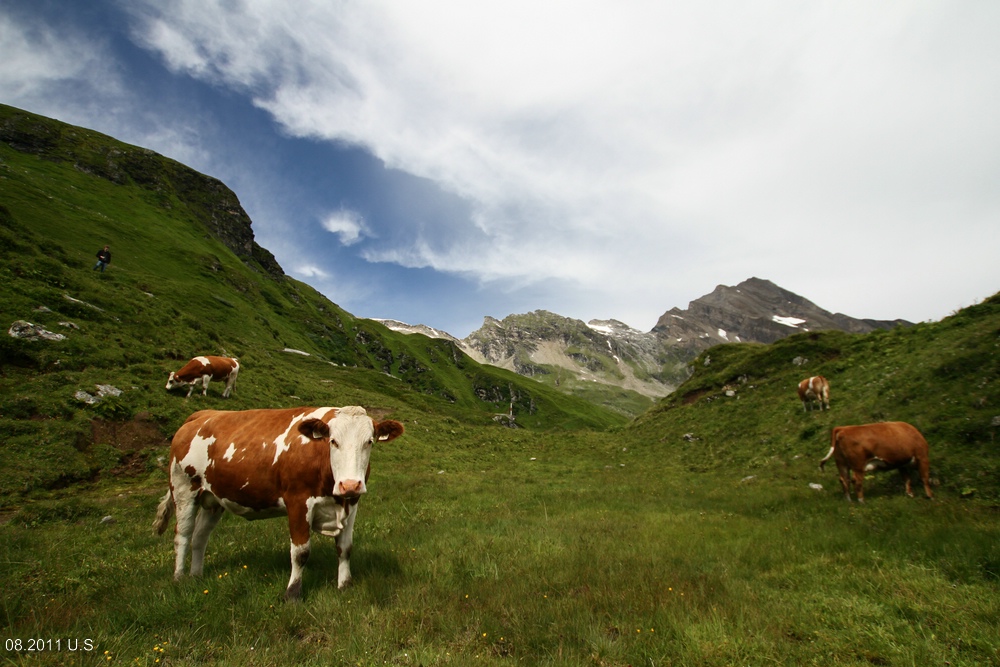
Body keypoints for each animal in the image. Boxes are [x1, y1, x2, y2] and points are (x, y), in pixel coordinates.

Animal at [152, 404, 402, 604]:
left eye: (369, 442)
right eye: (333, 441)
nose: (350, 484)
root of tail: (201, 414)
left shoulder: (352, 504)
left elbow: (345, 548)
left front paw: (344, 586)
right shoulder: (298, 502)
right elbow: (300, 552)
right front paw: (292, 594)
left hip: (214, 499)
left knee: (200, 537)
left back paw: (196, 576)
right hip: (184, 488)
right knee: (183, 535)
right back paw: (179, 578)